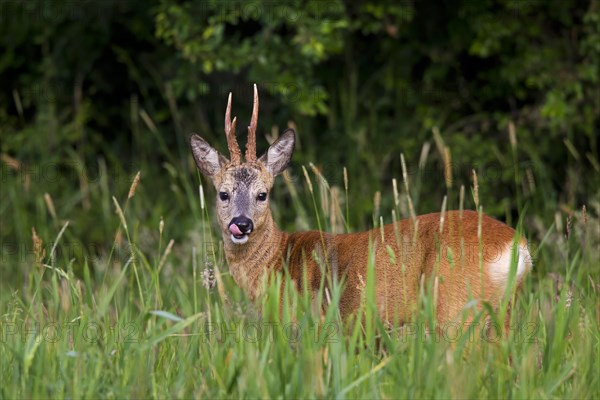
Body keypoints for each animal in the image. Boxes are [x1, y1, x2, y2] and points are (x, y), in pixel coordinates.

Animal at [190, 84, 532, 324]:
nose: (241, 224)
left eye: (263, 194)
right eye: (223, 193)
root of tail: (517, 247)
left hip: (455, 303)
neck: (277, 261)